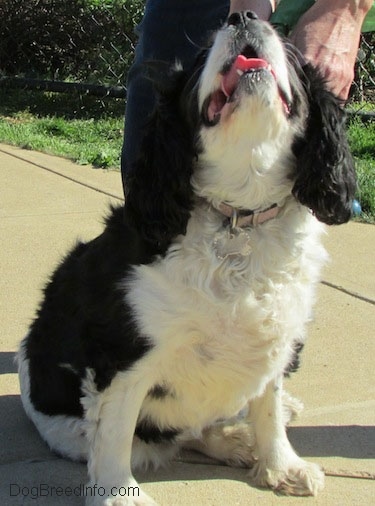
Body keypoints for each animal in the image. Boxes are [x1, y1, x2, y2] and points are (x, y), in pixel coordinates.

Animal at [18, 9, 358, 504]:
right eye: (200, 59)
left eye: (292, 52)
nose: (244, 14)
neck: (239, 215)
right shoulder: (123, 356)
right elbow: (115, 434)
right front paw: (118, 495)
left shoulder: (276, 335)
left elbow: (268, 407)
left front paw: (282, 465)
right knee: (165, 438)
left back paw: (239, 439)